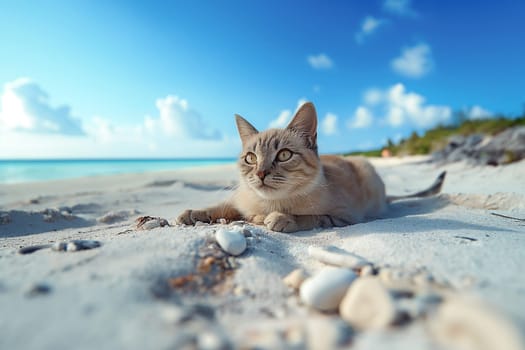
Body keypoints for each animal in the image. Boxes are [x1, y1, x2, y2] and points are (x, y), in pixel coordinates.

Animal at [177, 102, 446, 232]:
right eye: (251, 158)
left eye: (284, 155)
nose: (261, 173)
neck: (269, 204)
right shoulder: (239, 202)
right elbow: (222, 207)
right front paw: (193, 213)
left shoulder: (343, 217)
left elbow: (311, 217)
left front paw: (282, 219)